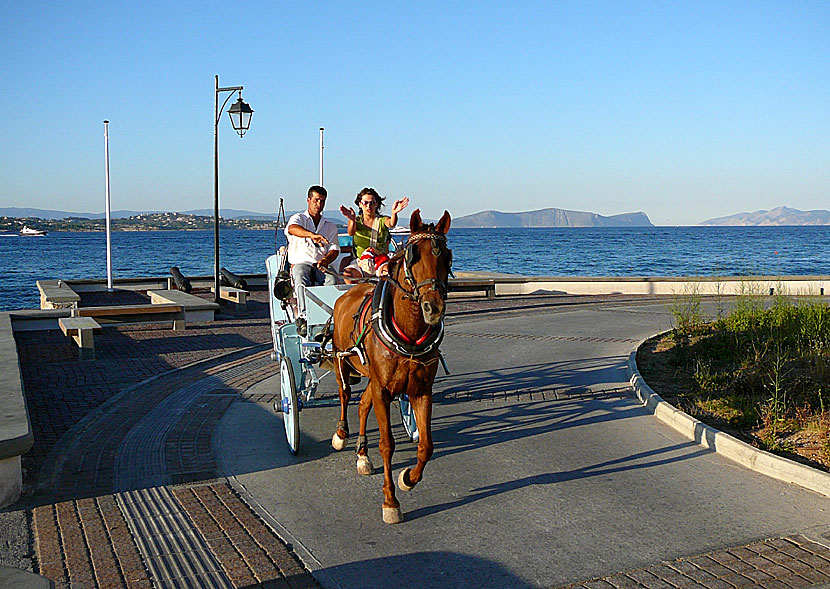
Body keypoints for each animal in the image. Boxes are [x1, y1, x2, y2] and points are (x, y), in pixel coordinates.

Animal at [330, 208, 452, 524]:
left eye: (447, 256)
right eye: (413, 256)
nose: (434, 308)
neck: (409, 331)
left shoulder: (420, 390)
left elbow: (426, 446)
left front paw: (408, 479)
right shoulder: (384, 390)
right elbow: (387, 444)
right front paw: (390, 501)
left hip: (373, 377)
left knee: (363, 404)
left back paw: (362, 454)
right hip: (340, 360)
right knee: (346, 396)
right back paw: (342, 434)